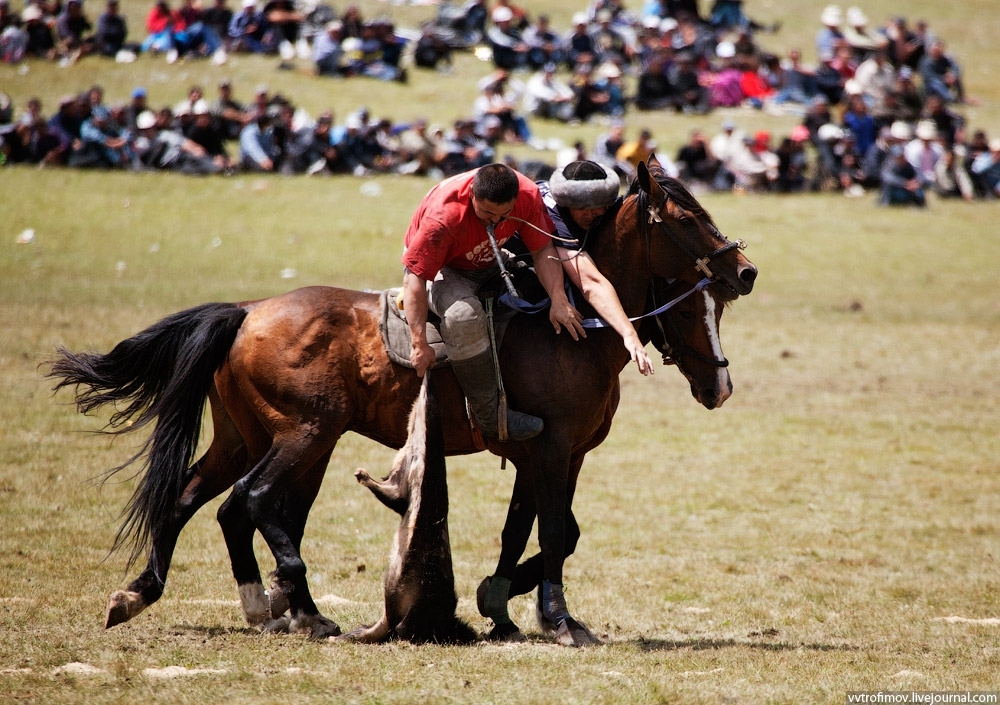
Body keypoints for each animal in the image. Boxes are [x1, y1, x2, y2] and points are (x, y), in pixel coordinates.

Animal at [45, 157, 752, 648]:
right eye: (686, 220)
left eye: (715, 309)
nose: (742, 271)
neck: (571, 321)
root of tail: (248, 310)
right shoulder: (552, 449)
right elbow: (555, 532)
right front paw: (558, 619)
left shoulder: (550, 457)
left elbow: (535, 530)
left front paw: (499, 601)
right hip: (305, 433)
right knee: (251, 500)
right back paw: (294, 608)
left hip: (247, 438)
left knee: (195, 500)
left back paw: (162, 594)